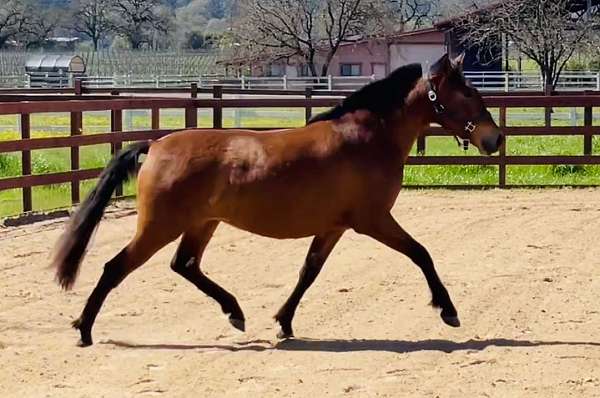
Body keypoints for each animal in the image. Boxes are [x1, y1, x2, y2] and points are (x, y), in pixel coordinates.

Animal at [51, 52, 504, 346]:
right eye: (468, 94)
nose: (494, 139)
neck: (368, 138)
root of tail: (157, 145)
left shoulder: (335, 227)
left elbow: (309, 272)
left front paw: (283, 323)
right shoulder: (373, 220)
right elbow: (421, 254)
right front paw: (448, 310)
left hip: (201, 223)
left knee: (185, 265)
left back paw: (235, 312)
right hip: (160, 225)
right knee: (115, 267)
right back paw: (83, 330)